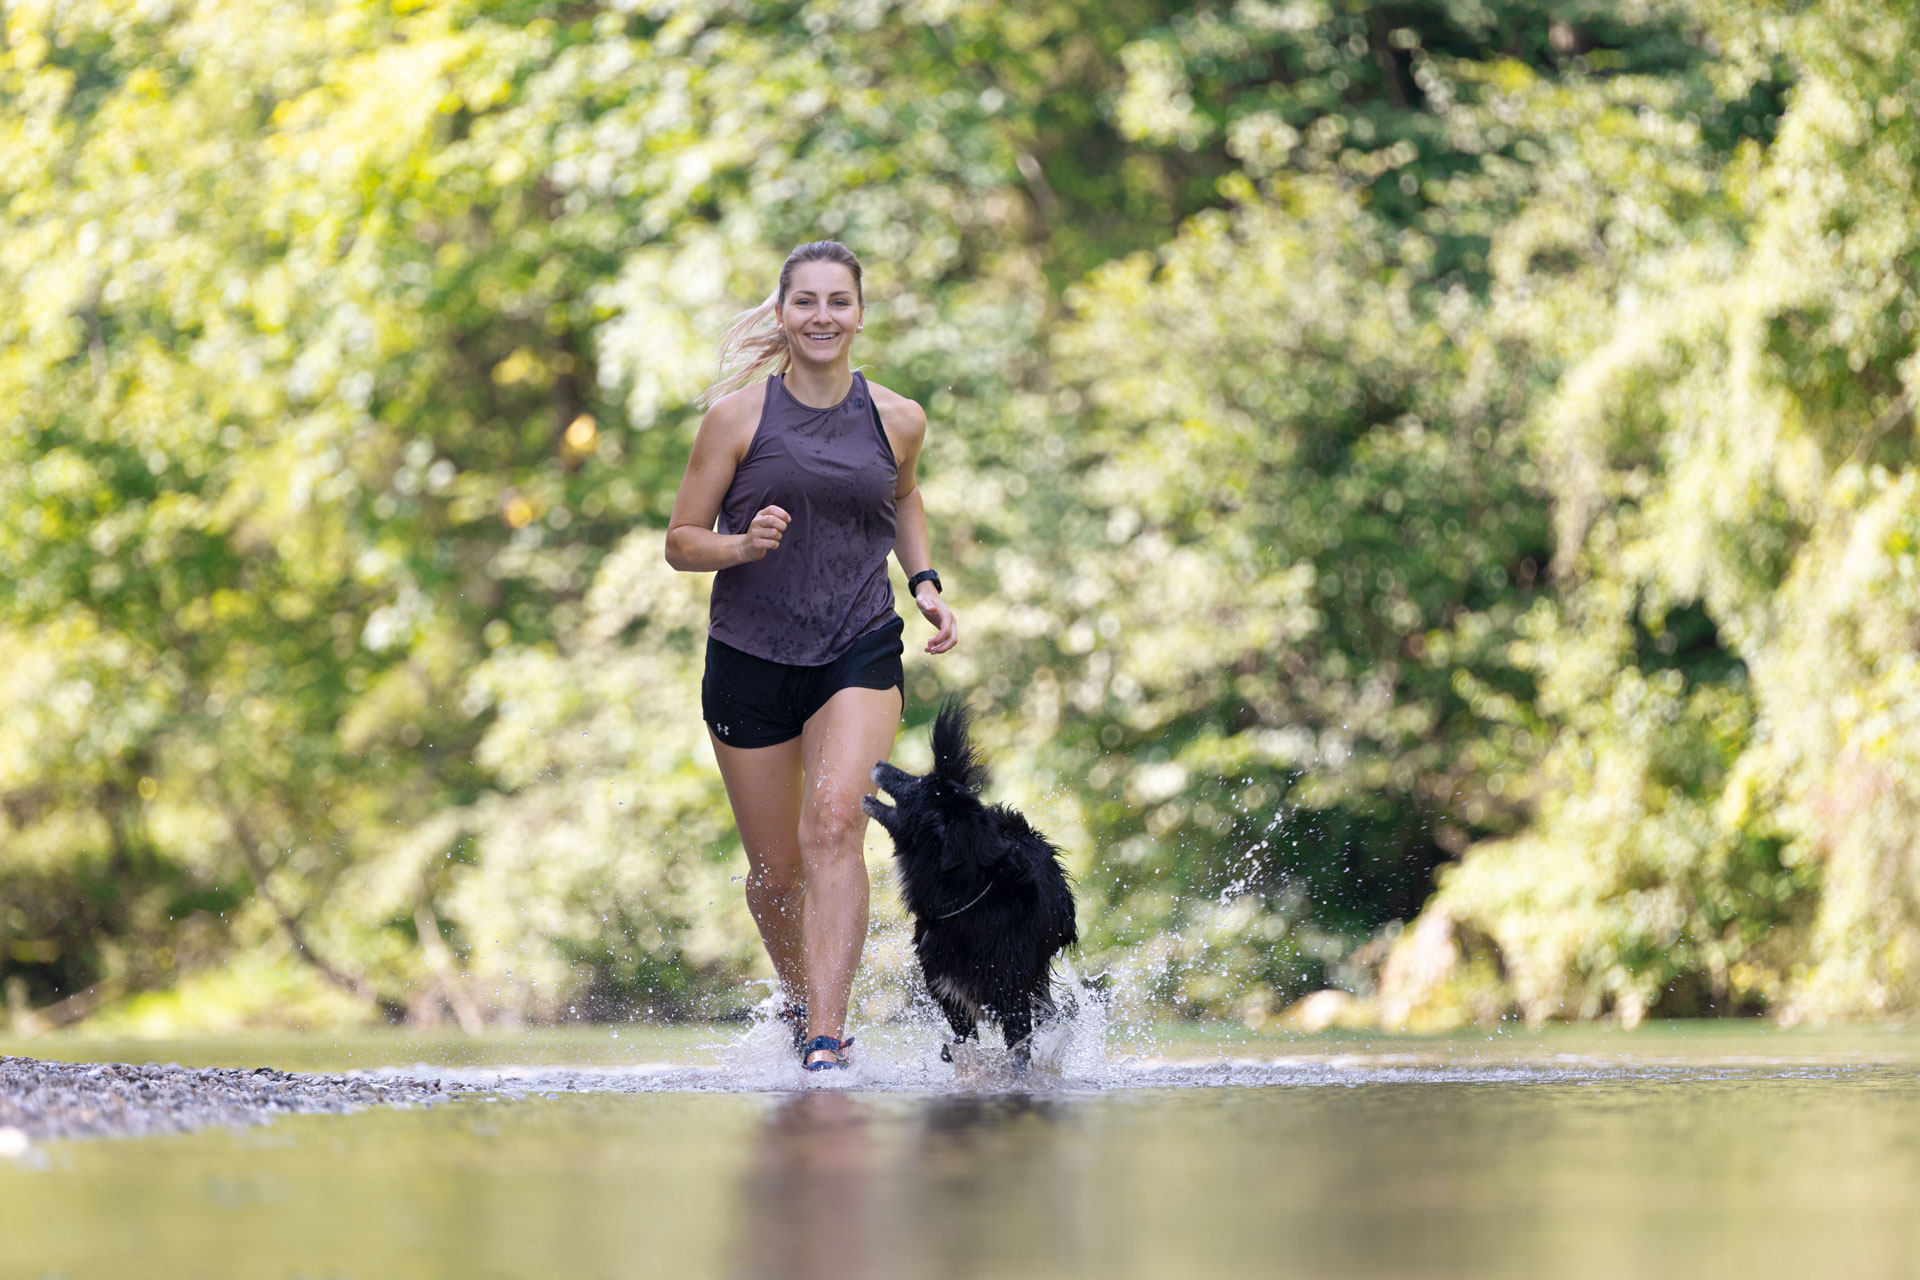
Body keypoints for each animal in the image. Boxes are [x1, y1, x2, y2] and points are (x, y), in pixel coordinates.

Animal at [860, 702, 1075, 1074]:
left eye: (917, 784)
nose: (877, 762)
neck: (965, 899)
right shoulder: (950, 995)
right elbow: (964, 1046)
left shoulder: (1013, 999)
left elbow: (1017, 1050)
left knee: (1047, 1013)